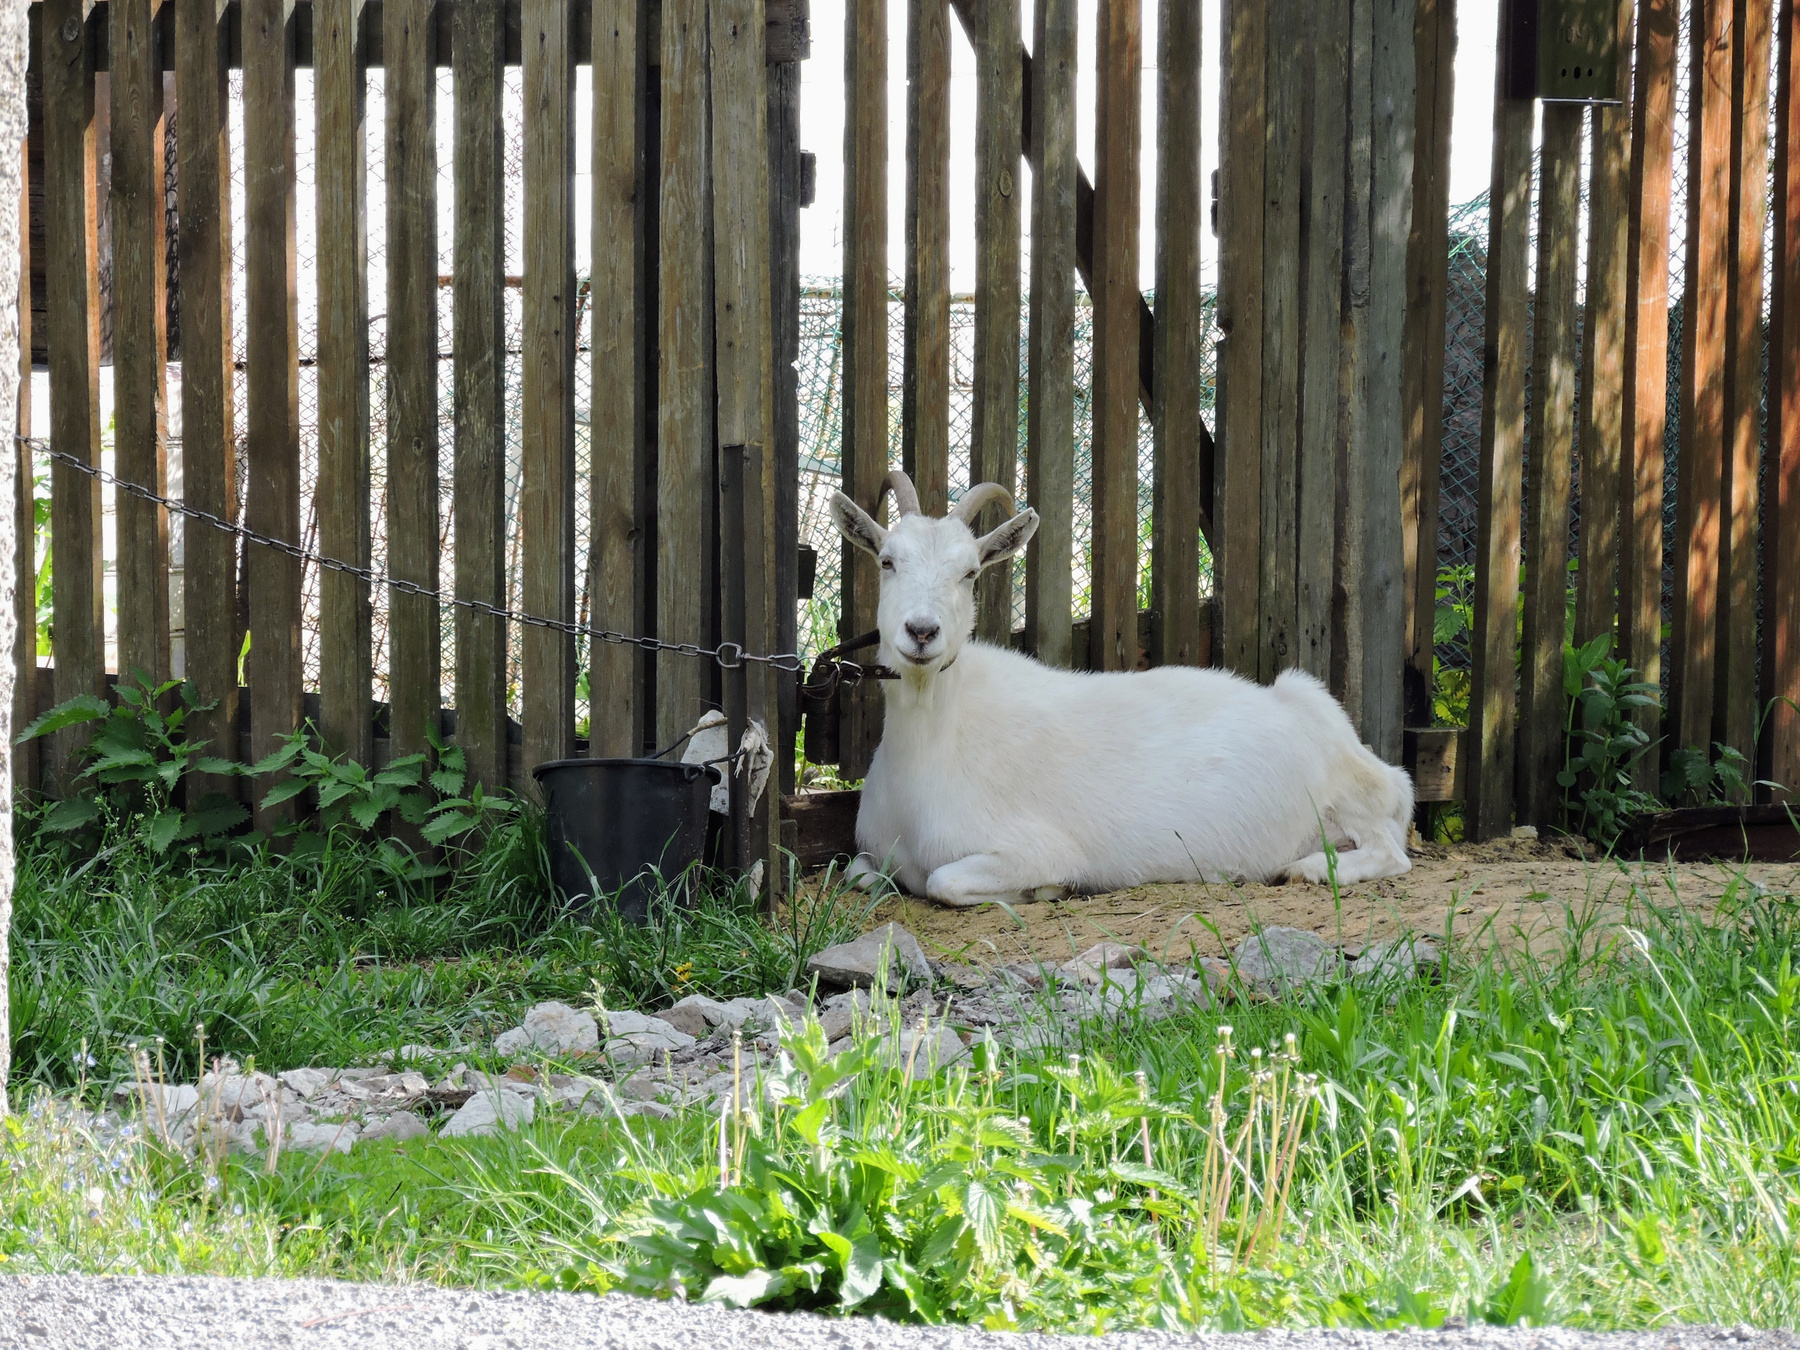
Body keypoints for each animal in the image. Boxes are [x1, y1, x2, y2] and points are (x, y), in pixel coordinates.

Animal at [828, 470, 1415, 907]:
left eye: (970, 572)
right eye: (887, 561)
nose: (922, 632)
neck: (934, 744)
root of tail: (1383, 770)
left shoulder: (1032, 848)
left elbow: (943, 882)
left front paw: (1044, 891)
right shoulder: (872, 855)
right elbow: (857, 871)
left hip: (1349, 799)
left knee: (1391, 850)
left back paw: (1309, 867)